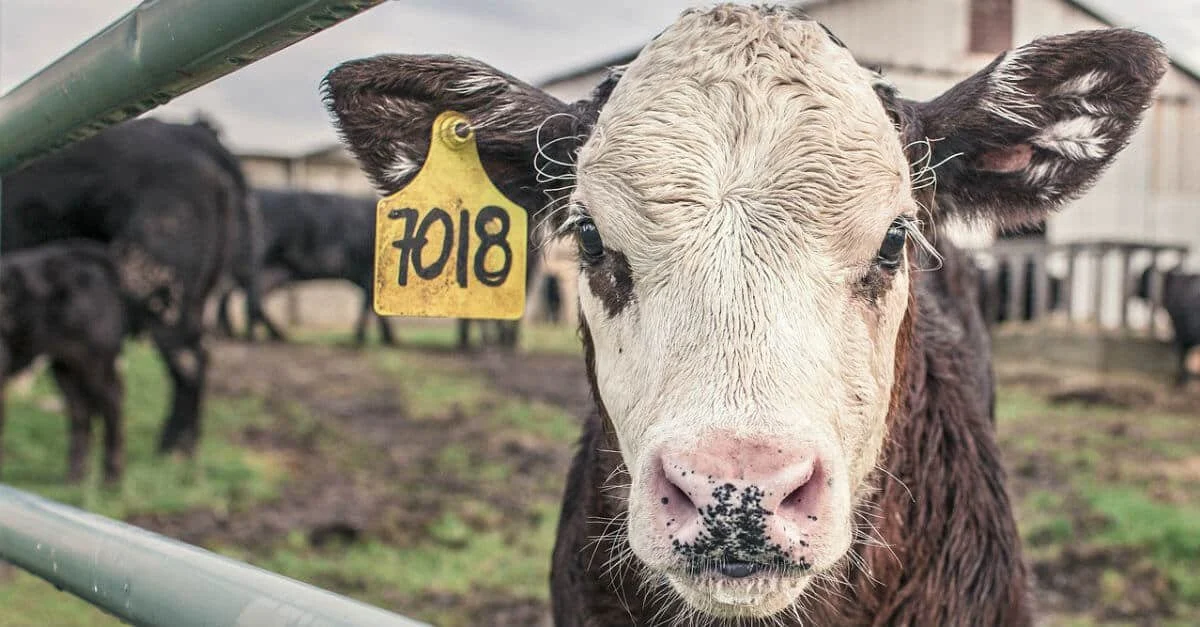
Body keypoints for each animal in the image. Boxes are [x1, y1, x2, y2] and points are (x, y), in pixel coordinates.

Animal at [1, 241, 126, 483]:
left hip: (95, 359)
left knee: (111, 402)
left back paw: (110, 478)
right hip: (65, 364)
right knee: (80, 410)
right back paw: (75, 477)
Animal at [214, 188, 396, 346]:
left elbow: (372, 305)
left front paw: (387, 339)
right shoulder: (368, 270)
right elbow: (368, 304)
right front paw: (364, 339)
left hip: (270, 270)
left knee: (240, 295)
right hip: (254, 261)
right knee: (246, 297)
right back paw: (255, 336)